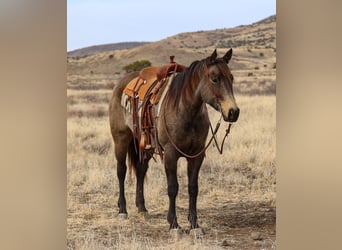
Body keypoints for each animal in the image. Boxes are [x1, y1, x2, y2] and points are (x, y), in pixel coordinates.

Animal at [108, 48, 239, 234]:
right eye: (215, 78)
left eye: (231, 78)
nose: (233, 112)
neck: (186, 110)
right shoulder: (170, 154)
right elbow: (173, 188)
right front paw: (174, 224)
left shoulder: (196, 155)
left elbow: (193, 188)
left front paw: (194, 225)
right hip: (121, 139)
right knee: (121, 171)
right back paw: (122, 210)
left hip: (145, 144)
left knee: (140, 171)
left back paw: (142, 208)